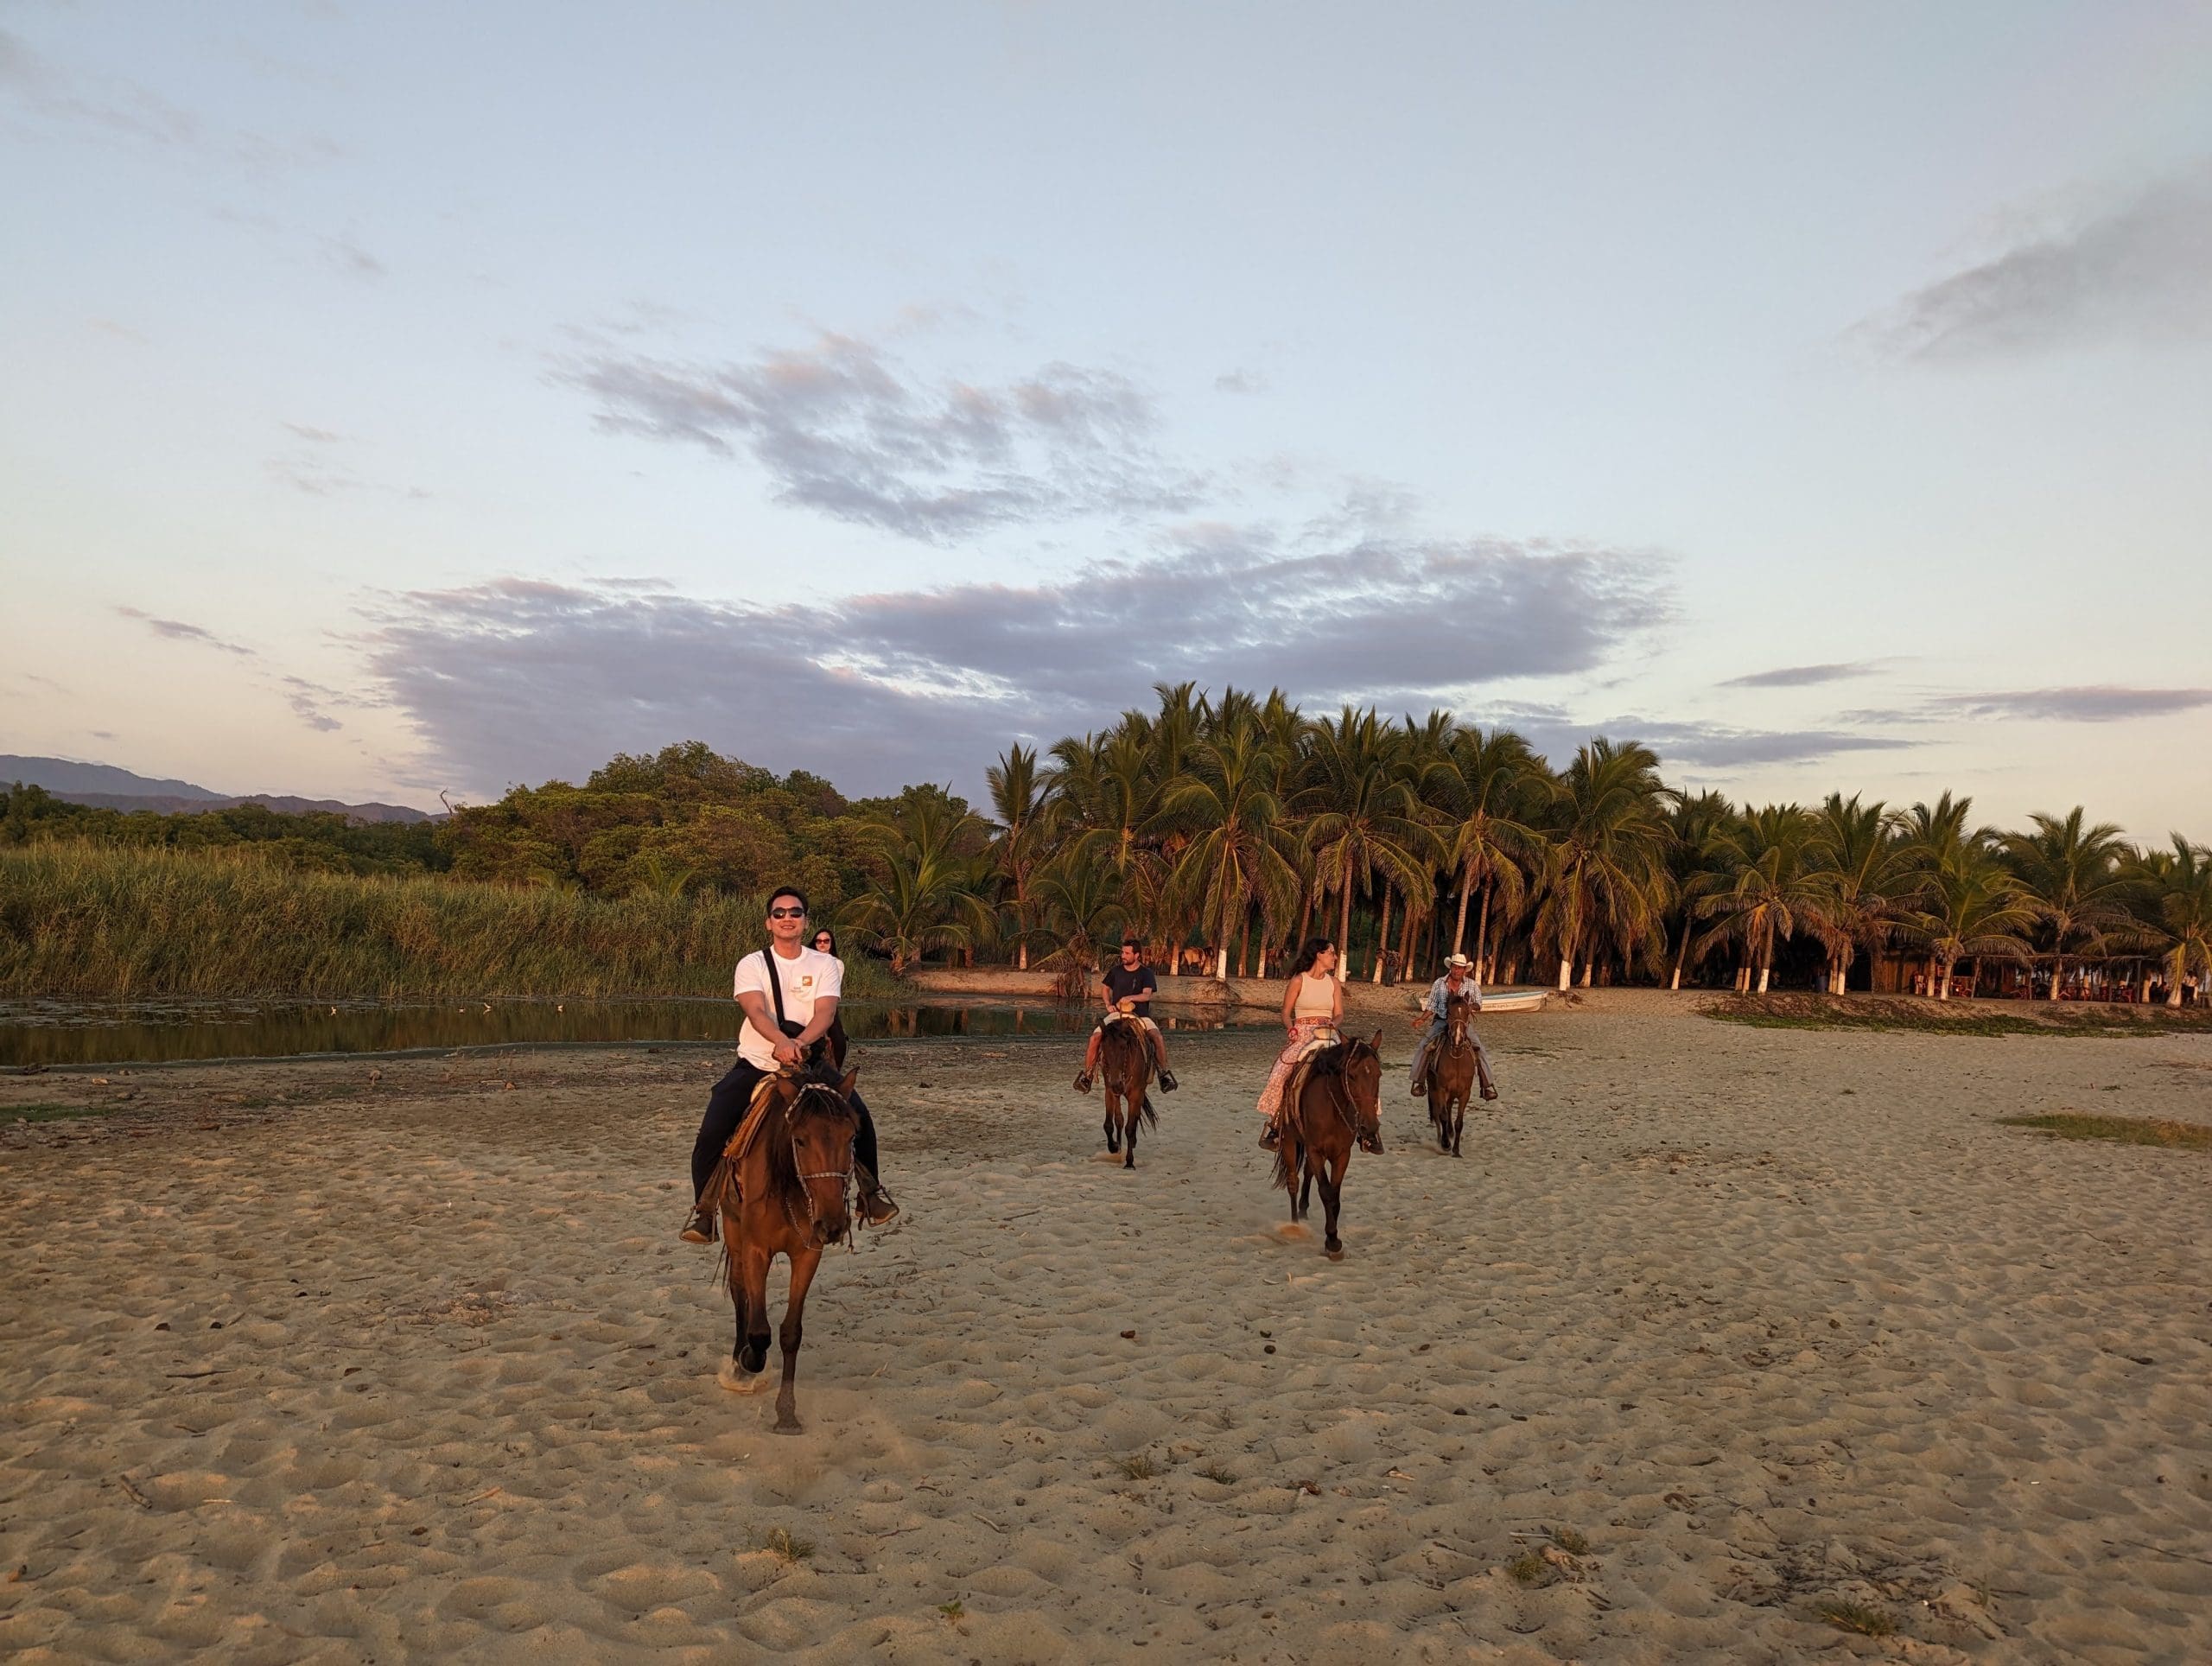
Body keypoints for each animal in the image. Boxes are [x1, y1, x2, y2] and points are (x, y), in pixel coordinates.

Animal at [703, 1066, 858, 1434]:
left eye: (851, 1137)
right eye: (799, 1139)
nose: (833, 1224)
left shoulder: (808, 1254)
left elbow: (790, 1333)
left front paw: (786, 1413)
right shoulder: (757, 1250)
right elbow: (759, 1330)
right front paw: (749, 1359)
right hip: (733, 1229)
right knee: (740, 1293)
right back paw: (739, 1366)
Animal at [1101, 1013, 1159, 1167]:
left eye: (1123, 1047)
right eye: (1104, 1048)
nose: (1117, 1082)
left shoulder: (1136, 1094)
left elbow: (1130, 1127)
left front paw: (1129, 1162)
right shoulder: (1110, 1090)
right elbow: (1109, 1124)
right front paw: (1114, 1147)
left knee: (1135, 1118)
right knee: (1119, 1119)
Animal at [1274, 1035, 1371, 1256]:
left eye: (1379, 1074)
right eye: (1351, 1075)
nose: (1369, 1125)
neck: (1332, 1106)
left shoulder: (1342, 1154)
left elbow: (1335, 1193)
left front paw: (1332, 1235)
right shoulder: (1315, 1150)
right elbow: (1326, 1191)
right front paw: (1332, 1240)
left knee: (1308, 1173)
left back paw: (1303, 1210)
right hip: (1289, 1140)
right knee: (1293, 1181)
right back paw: (1295, 1223)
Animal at [1424, 986, 1478, 1159]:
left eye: (1467, 1012)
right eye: (1449, 1012)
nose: (1457, 1038)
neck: (1457, 1059)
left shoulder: (1465, 1093)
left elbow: (1459, 1122)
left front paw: (1456, 1150)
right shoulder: (1441, 1089)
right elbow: (1442, 1116)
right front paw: (1446, 1144)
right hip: (1433, 1089)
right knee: (1437, 1114)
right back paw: (1441, 1139)